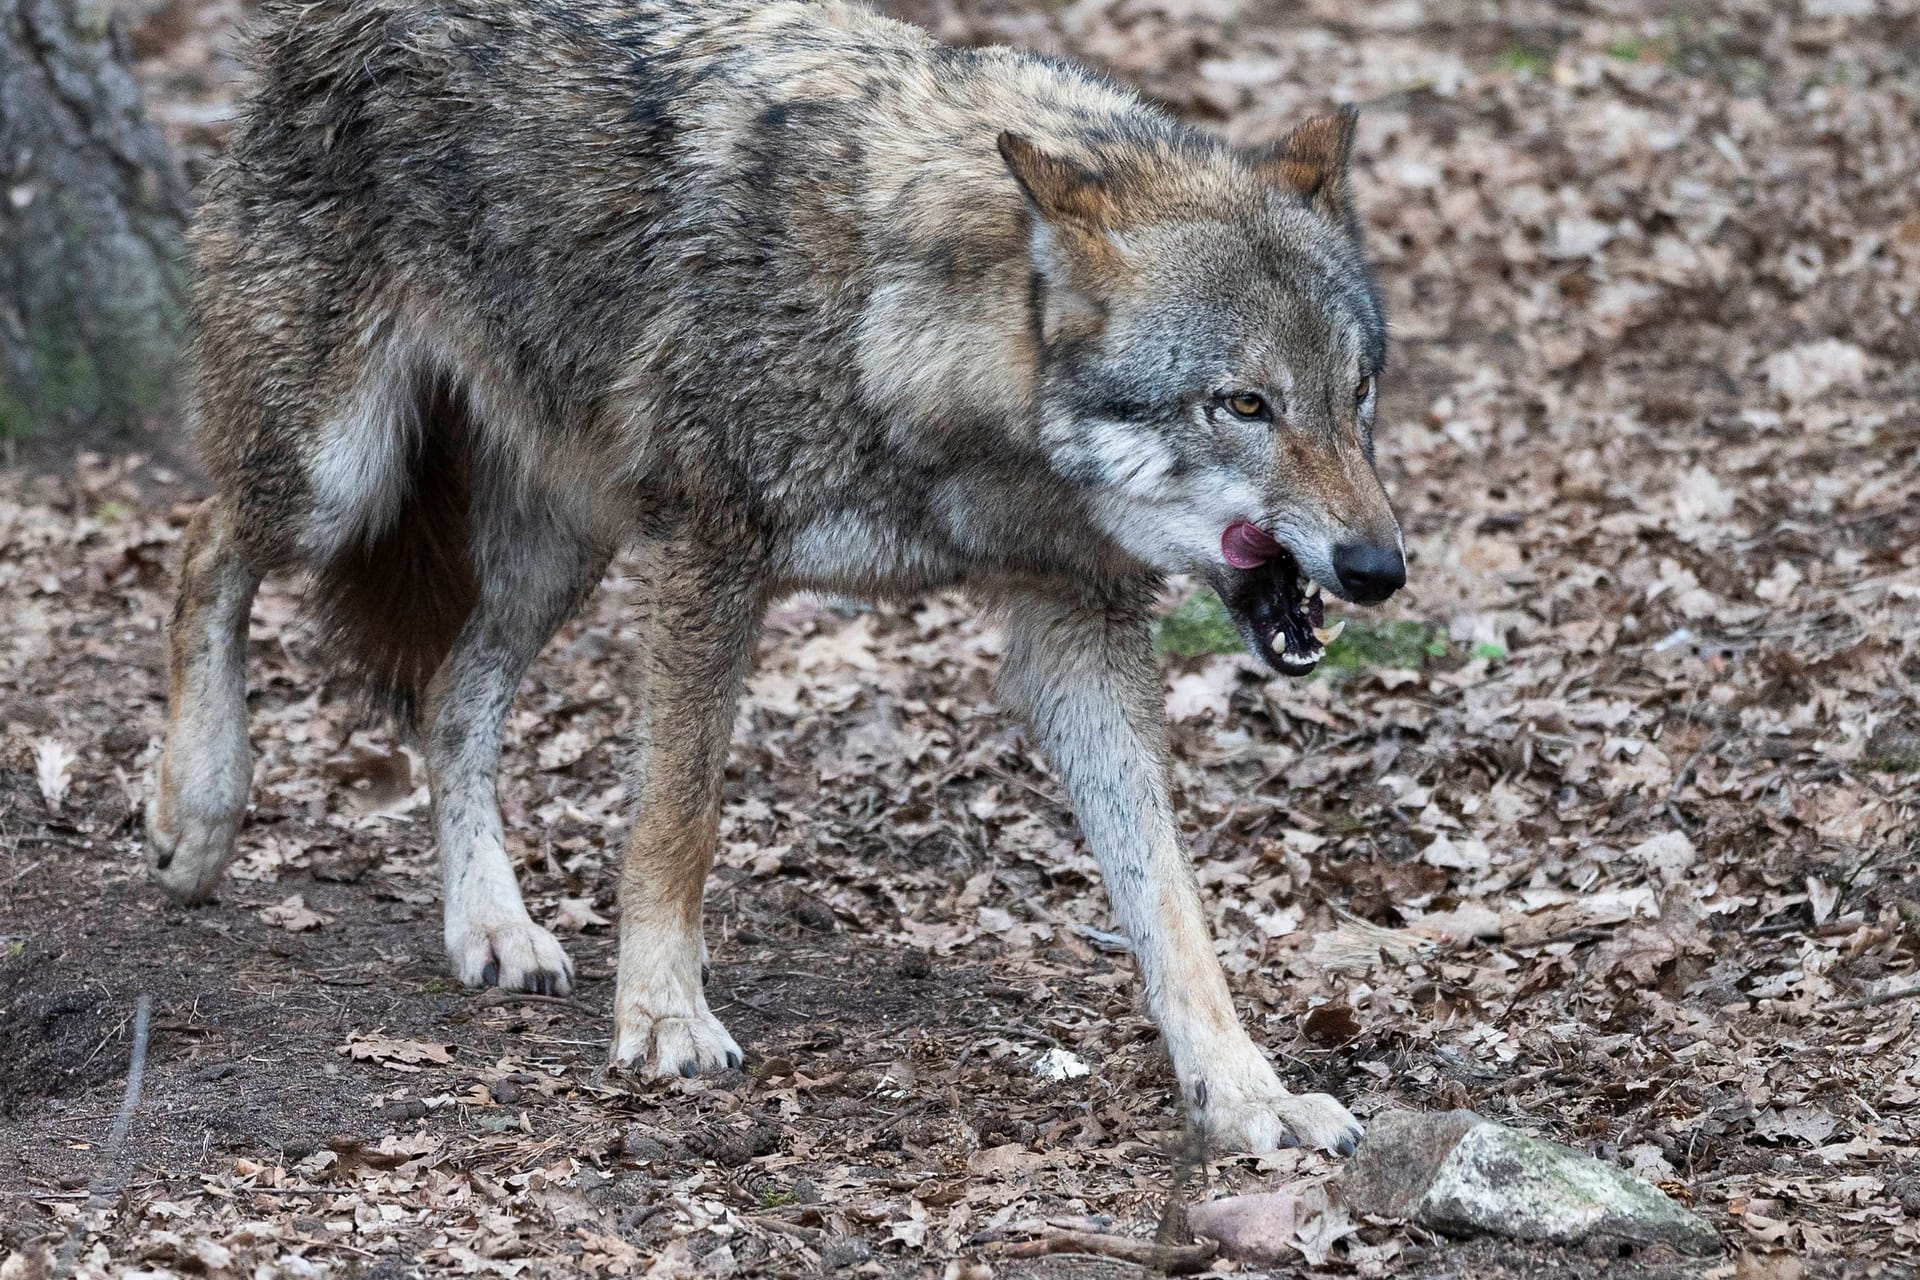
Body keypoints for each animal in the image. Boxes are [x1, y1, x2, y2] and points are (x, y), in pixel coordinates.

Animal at [145, 0, 1413, 1159]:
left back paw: (491, 928)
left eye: (1355, 395)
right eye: (1243, 404)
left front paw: (1245, 1090)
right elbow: (678, 818)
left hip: (561, 545)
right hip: (337, 476)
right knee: (203, 546)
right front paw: (664, 1017)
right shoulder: (711, 554)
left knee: (450, 697)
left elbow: (1170, 901)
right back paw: (196, 811)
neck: (901, 335)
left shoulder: (1077, 625)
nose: (1380, 567)